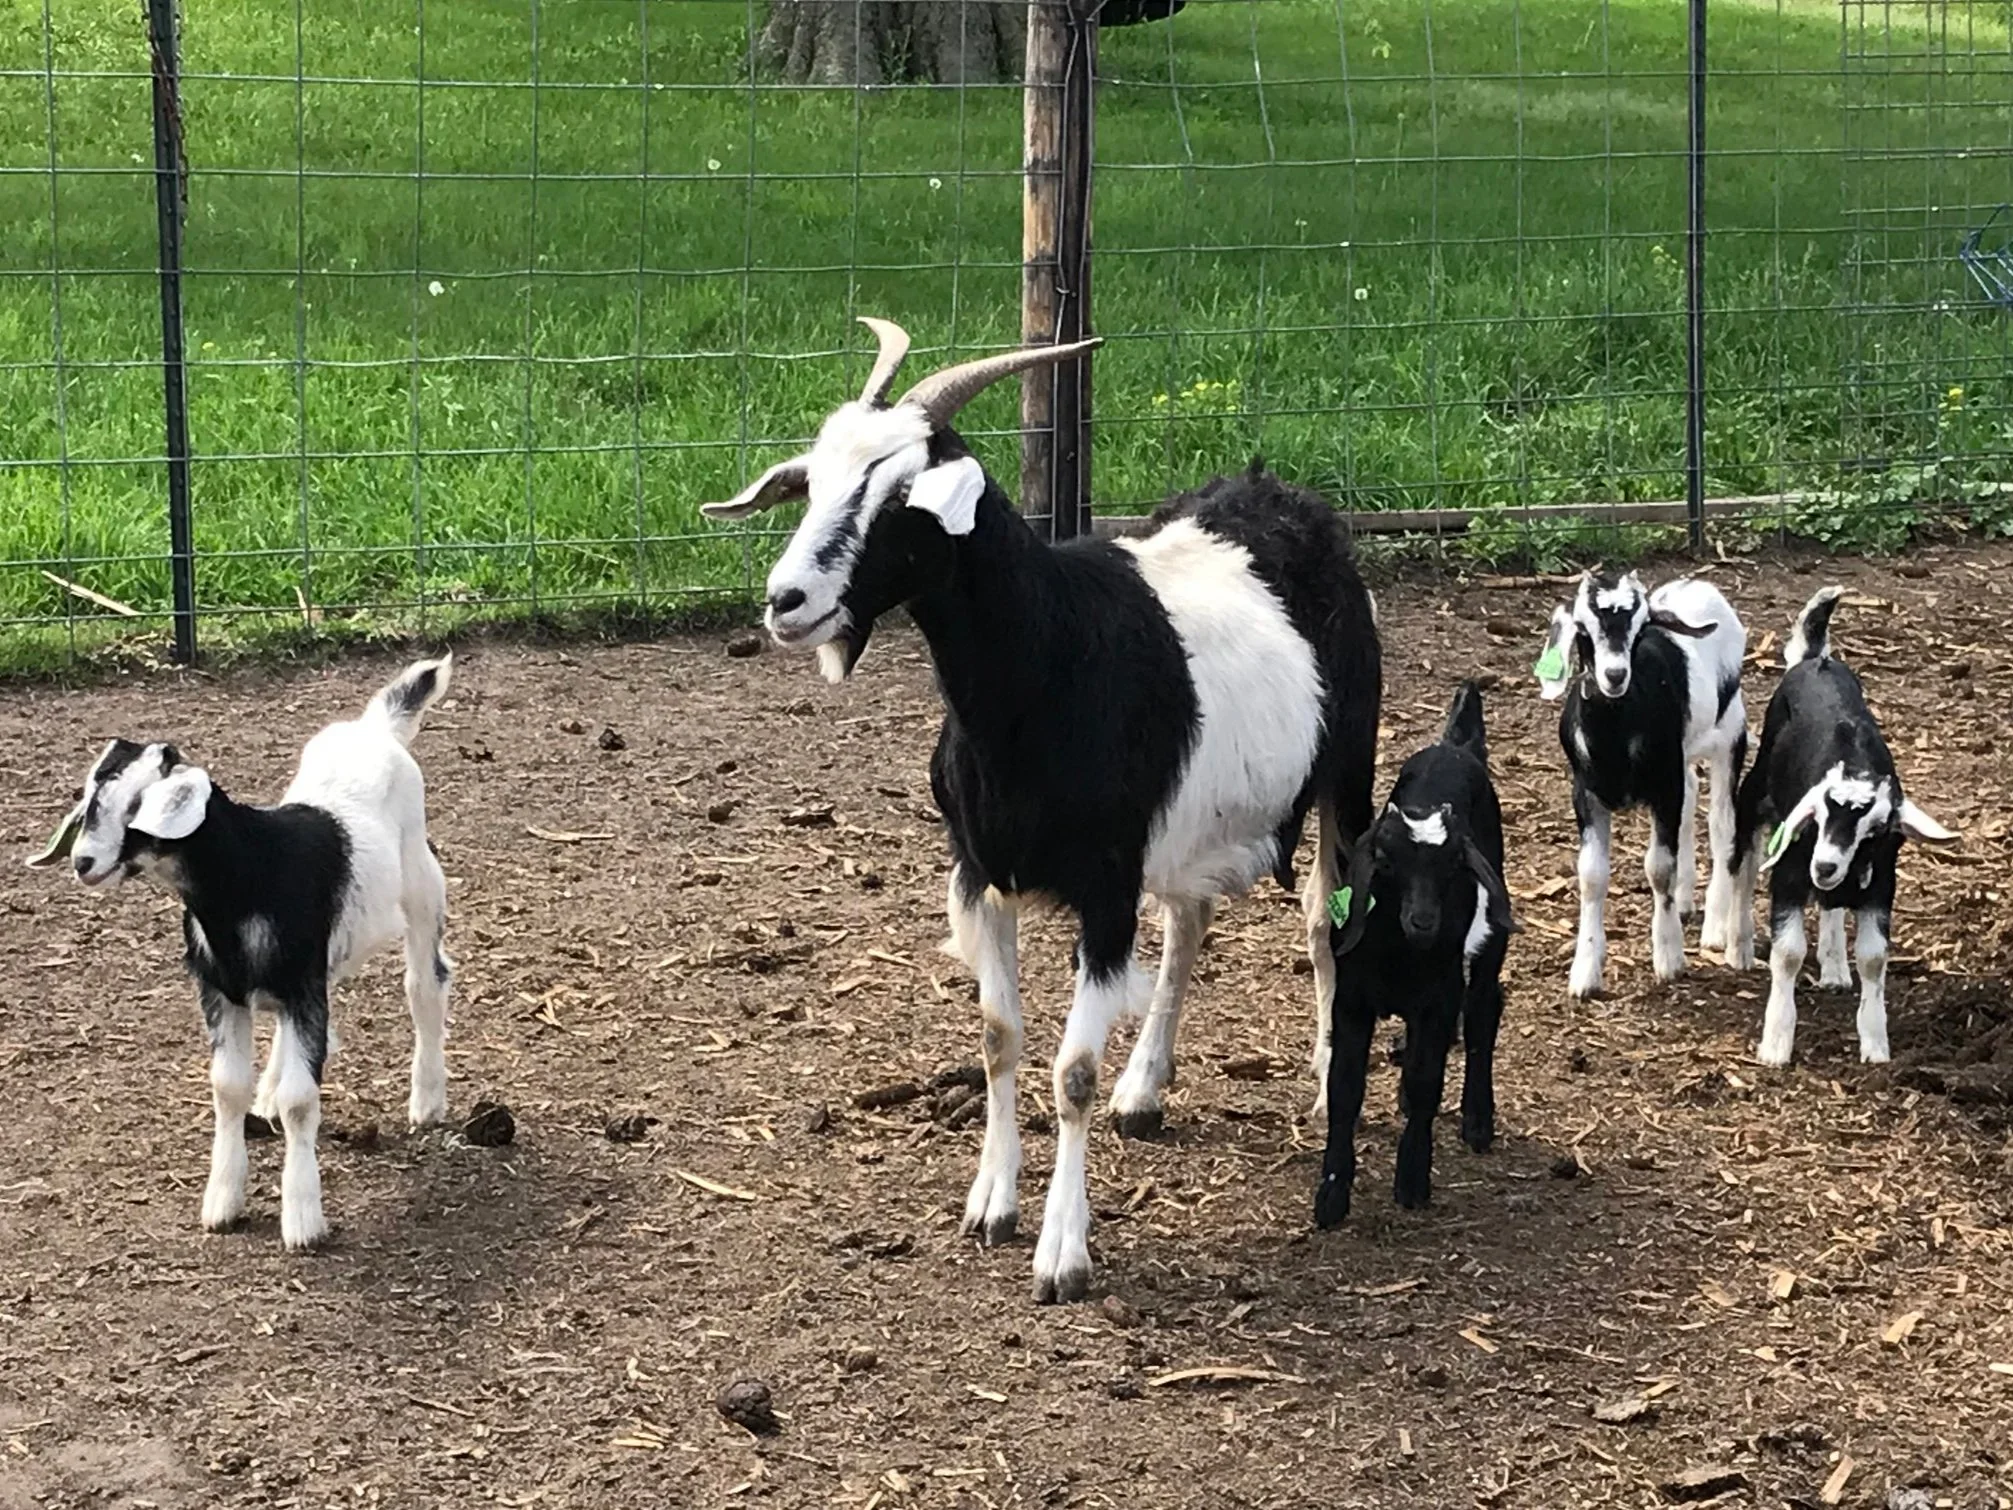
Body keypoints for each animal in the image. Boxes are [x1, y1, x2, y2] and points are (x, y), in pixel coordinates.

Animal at [27, 656, 457, 1250]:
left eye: (137, 807)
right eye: (90, 801)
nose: (84, 863)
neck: (253, 868)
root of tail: (374, 730)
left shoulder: (300, 986)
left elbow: (303, 1099)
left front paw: (303, 1219)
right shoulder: (221, 990)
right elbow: (227, 1088)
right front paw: (223, 1202)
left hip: (421, 884)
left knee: (425, 983)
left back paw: (427, 1099)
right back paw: (270, 1093)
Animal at [702, 318, 1381, 1303]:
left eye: (898, 496)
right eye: (816, 483)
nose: (785, 601)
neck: (1045, 663)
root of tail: (1280, 493)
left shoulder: (1103, 888)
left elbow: (1071, 1071)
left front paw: (1063, 1251)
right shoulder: (980, 872)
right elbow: (998, 1037)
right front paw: (991, 1201)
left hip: (1344, 773)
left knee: (1326, 921)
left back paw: (1330, 1079)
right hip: (1186, 822)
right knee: (1190, 920)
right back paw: (1146, 1091)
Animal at [1315, 681, 1513, 1228]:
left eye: (1453, 866)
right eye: (1385, 862)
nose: (1423, 920)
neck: (1398, 956)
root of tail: (1456, 747)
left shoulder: (1439, 1000)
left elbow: (1429, 1081)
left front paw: (1412, 1178)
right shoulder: (1351, 1002)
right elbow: (1345, 1090)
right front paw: (1331, 1194)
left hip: (1490, 936)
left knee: (1484, 1008)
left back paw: (1477, 1119)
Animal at [1535, 570, 1747, 997]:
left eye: (1640, 626)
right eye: (1583, 628)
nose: (1615, 675)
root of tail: (1697, 586)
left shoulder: (1664, 788)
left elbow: (1659, 868)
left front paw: (1669, 956)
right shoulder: (1586, 795)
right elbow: (1591, 876)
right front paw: (1585, 971)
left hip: (1731, 733)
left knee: (1721, 822)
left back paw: (1715, 927)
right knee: (1691, 801)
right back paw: (1685, 900)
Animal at [1732, 587, 1955, 1066]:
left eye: (1876, 830)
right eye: (1818, 814)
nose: (1826, 866)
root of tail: (1817, 659)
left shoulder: (1880, 885)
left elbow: (1873, 958)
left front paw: (1875, 1043)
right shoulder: (1790, 873)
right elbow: (1788, 953)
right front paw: (1775, 1043)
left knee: (1830, 908)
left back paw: (1834, 965)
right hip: (1754, 795)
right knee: (1741, 863)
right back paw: (1735, 944)